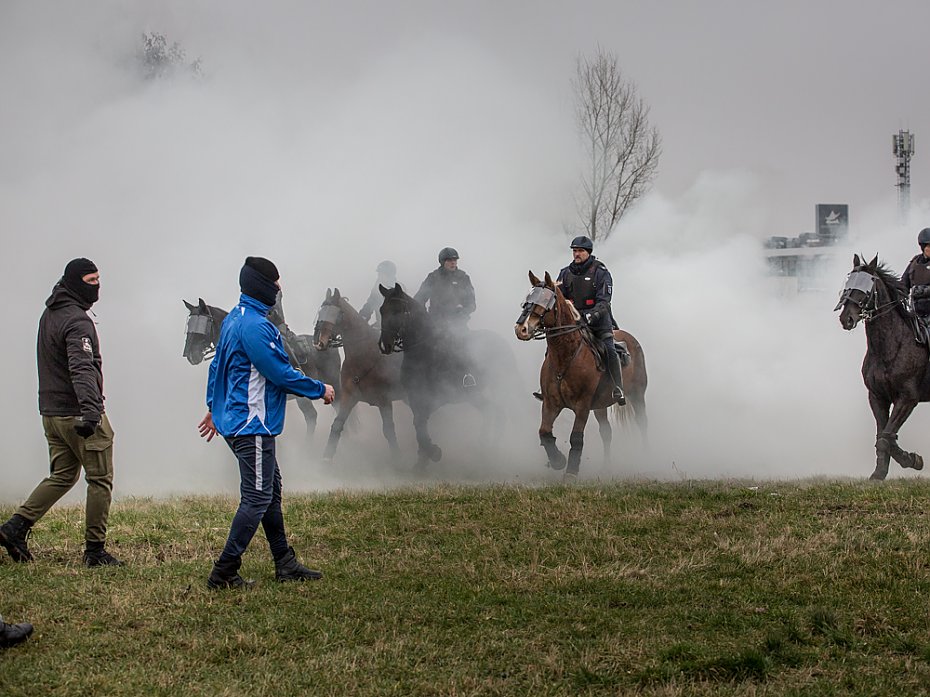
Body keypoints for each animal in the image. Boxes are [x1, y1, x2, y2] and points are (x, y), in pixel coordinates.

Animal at [314, 288, 404, 462]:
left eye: (337, 314)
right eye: (321, 311)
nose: (320, 343)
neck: (364, 355)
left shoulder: (384, 400)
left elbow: (389, 429)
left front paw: (398, 459)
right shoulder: (349, 396)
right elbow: (337, 424)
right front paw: (327, 458)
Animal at [376, 282, 516, 468]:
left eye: (397, 310)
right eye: (382, 310)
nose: (385, 345)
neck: (425, 351)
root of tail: (501, 341)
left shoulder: (435, 399)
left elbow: (419, 424)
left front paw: (433, 452)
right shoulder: (415, 397)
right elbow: (419, 426)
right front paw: (423, 460)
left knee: (498, 412)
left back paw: (489, 447)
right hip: (473, 395)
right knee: (492, 411)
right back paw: (485, 446)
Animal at [512, 270, 648, 478]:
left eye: (546, 301)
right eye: (527, 300)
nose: (521, 329)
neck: (566, 356)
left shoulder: (582, 406)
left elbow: (576, 438)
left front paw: (571, 472)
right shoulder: (550, 403)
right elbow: (544, 432)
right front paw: (558, 461)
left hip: (637, 395)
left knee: (642, 424)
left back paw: (647, 460)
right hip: (600, 406)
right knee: (606, 432)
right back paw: (606, 467)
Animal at [832, 254, 920, 478]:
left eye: (868, 286)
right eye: (849, 282)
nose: (846, 318)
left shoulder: (908, 398)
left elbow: (886, 437)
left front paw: (911, 459)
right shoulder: (878, 396)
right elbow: (883, 435)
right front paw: (879, 473)